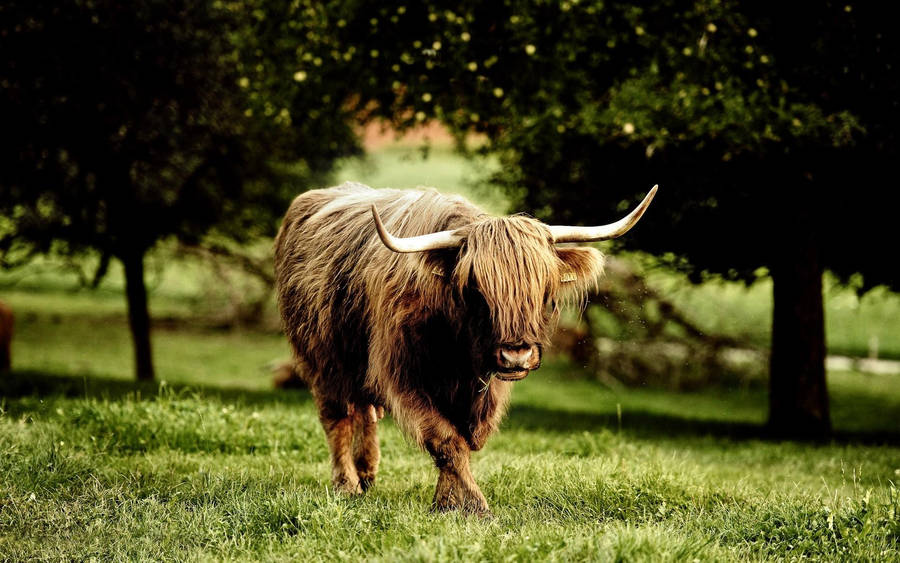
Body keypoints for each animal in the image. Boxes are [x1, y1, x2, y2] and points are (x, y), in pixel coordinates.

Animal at [274, 181, 656, 515]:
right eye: (476, 289)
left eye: (544, 290)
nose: (516, 354)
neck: (457, 346)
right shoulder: (402, 375)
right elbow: (445, 440)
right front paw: (474, 506)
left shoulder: (486, 390)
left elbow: (467, 441)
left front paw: (446, 502)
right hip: (322, 358)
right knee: (337, 416)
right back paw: (347, 485)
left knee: (365, 412)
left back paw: (367, 473)